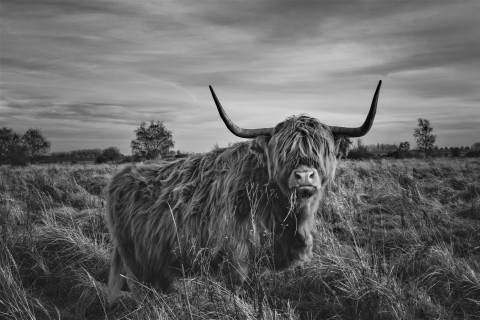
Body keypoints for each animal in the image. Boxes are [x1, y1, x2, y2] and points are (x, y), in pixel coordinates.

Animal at [106, 80, 382, 302]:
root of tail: (123, 174)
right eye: (282, 151)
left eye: (323, 149)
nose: (304, 175)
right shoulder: (234, 259)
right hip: (133, 260)